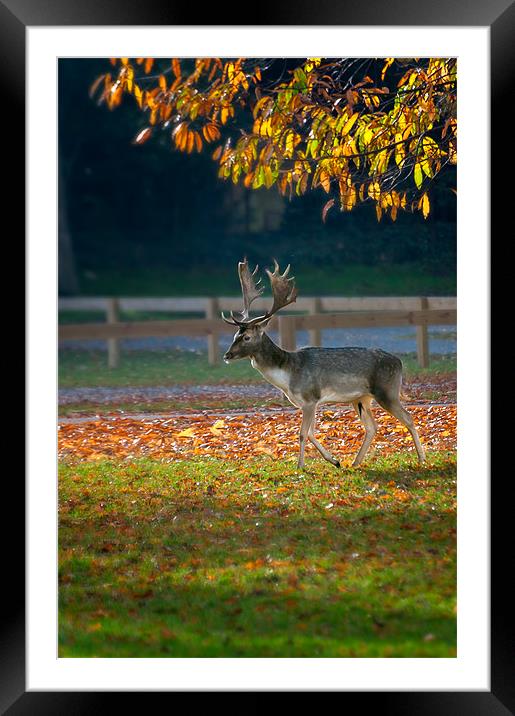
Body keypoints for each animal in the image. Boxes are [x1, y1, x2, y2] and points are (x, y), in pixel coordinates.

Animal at [223, 258, 428, 470]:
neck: (288, 374)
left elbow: (303, 434)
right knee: (372, 427)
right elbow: (311, 433)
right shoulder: (309, 403)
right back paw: (355, 462)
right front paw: (334, 460)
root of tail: (399, 362)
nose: (227, 354)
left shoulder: (309, 398)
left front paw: (300, 466)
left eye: (246, 337)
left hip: (387, 391)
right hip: (361, 398)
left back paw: (421, 458)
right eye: (235, 335)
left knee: (408, 418)